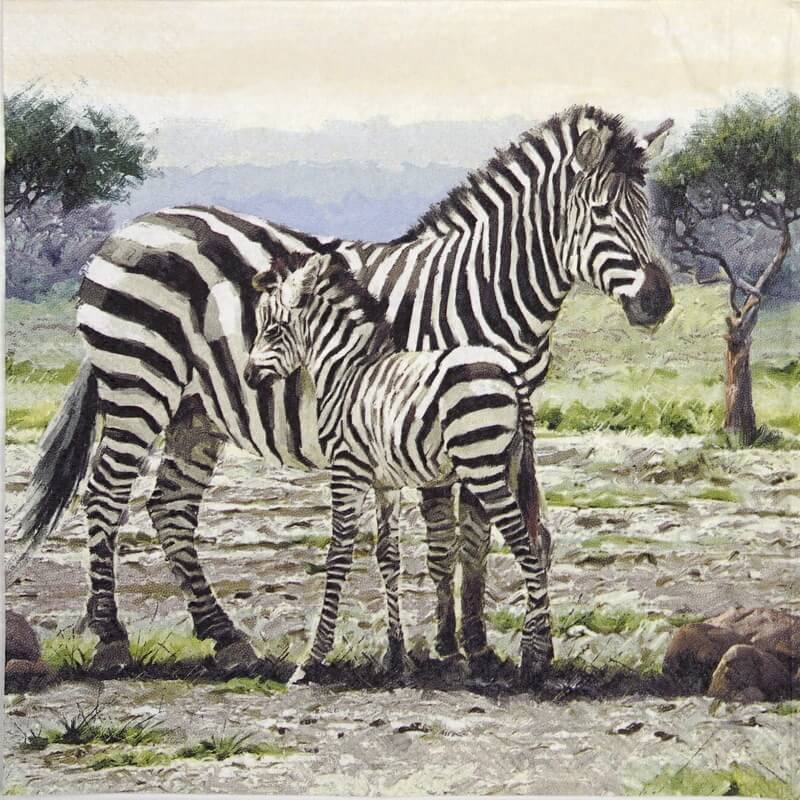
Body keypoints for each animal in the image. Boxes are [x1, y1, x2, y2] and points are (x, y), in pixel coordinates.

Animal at [244, 252, 552, 684]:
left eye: (273, 330)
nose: (248, 376)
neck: (348, 373)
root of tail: (509, 370)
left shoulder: (347, 470)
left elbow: (338, 553)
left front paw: (312, 659)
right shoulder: (384, 483)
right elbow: (388, 556)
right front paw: (396, 657)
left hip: (481, 467)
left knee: (525, 544)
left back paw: (533, 661)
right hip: (510, 461)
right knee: (539, 541)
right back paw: (538, 651)